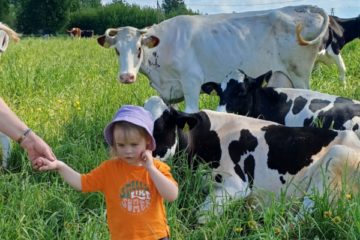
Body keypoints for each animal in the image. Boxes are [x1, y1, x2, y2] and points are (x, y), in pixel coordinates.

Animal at [97, 5, 330, 113]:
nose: (126, 77)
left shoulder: (191, 82)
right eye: (117, 50)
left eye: (138, 49)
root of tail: (303, 9)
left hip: (300, 75)